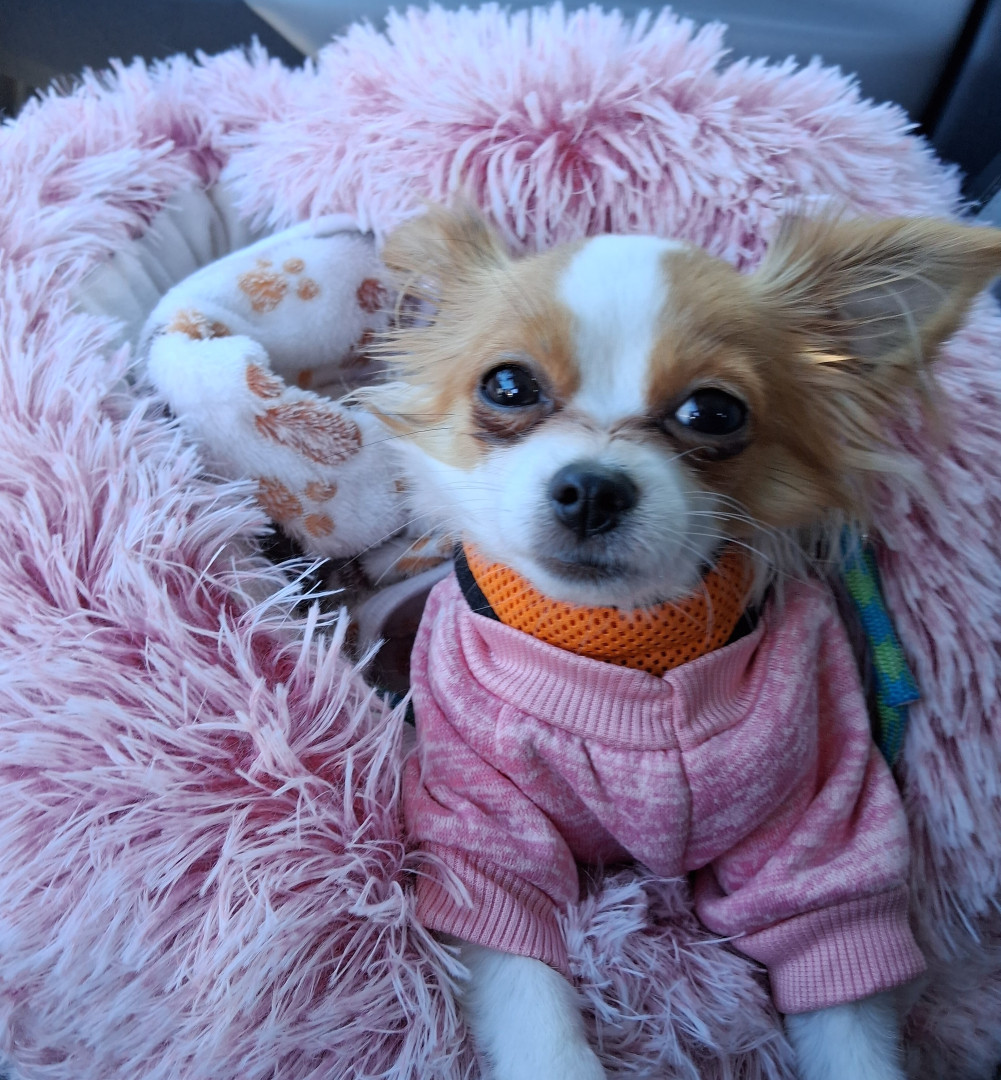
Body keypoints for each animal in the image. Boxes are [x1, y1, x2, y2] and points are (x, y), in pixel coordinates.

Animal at [367, 205, 1001, 1080]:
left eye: (713, 412)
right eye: (507, 386)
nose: (591, 487)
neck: (630, 651)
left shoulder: (816, 829)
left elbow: (838, 999)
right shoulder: (484, 828)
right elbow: (532, 1000)